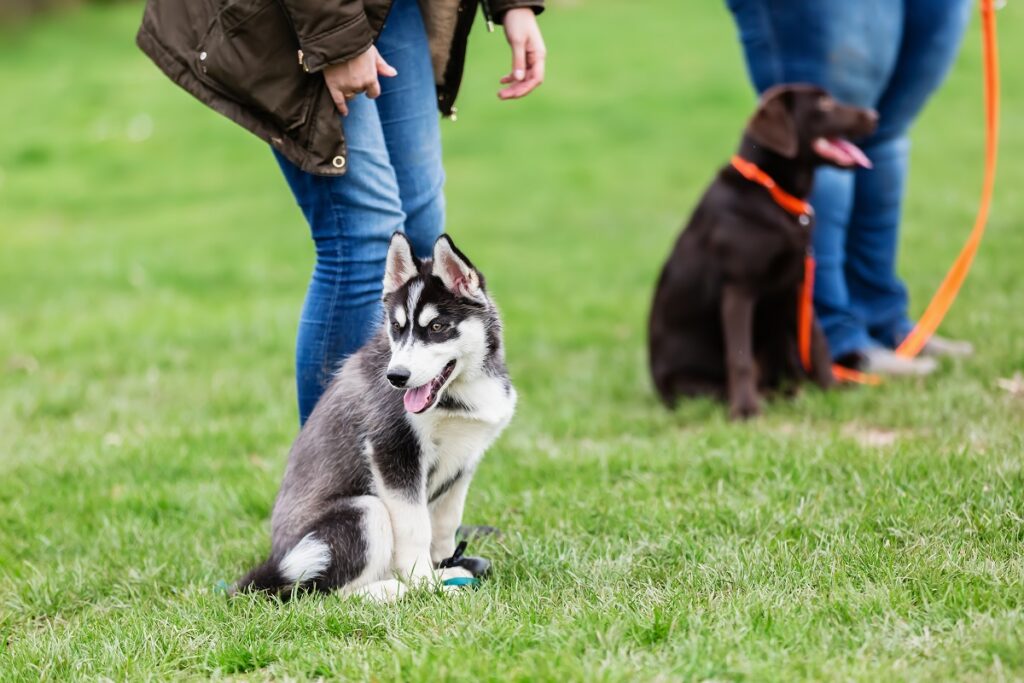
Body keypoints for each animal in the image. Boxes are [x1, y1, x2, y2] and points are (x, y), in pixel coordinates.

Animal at [236, 232, 516, 602]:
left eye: (437, 326)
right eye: (396, 327)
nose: (396, 377)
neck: (460, 390)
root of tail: (274, 563)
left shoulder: (464, 459)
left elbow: (444, 525)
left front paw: (444, 567)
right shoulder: (393, 449)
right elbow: (415, 528)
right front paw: (426, 584)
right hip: (363, 511)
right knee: (324, 593)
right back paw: (392, 589)